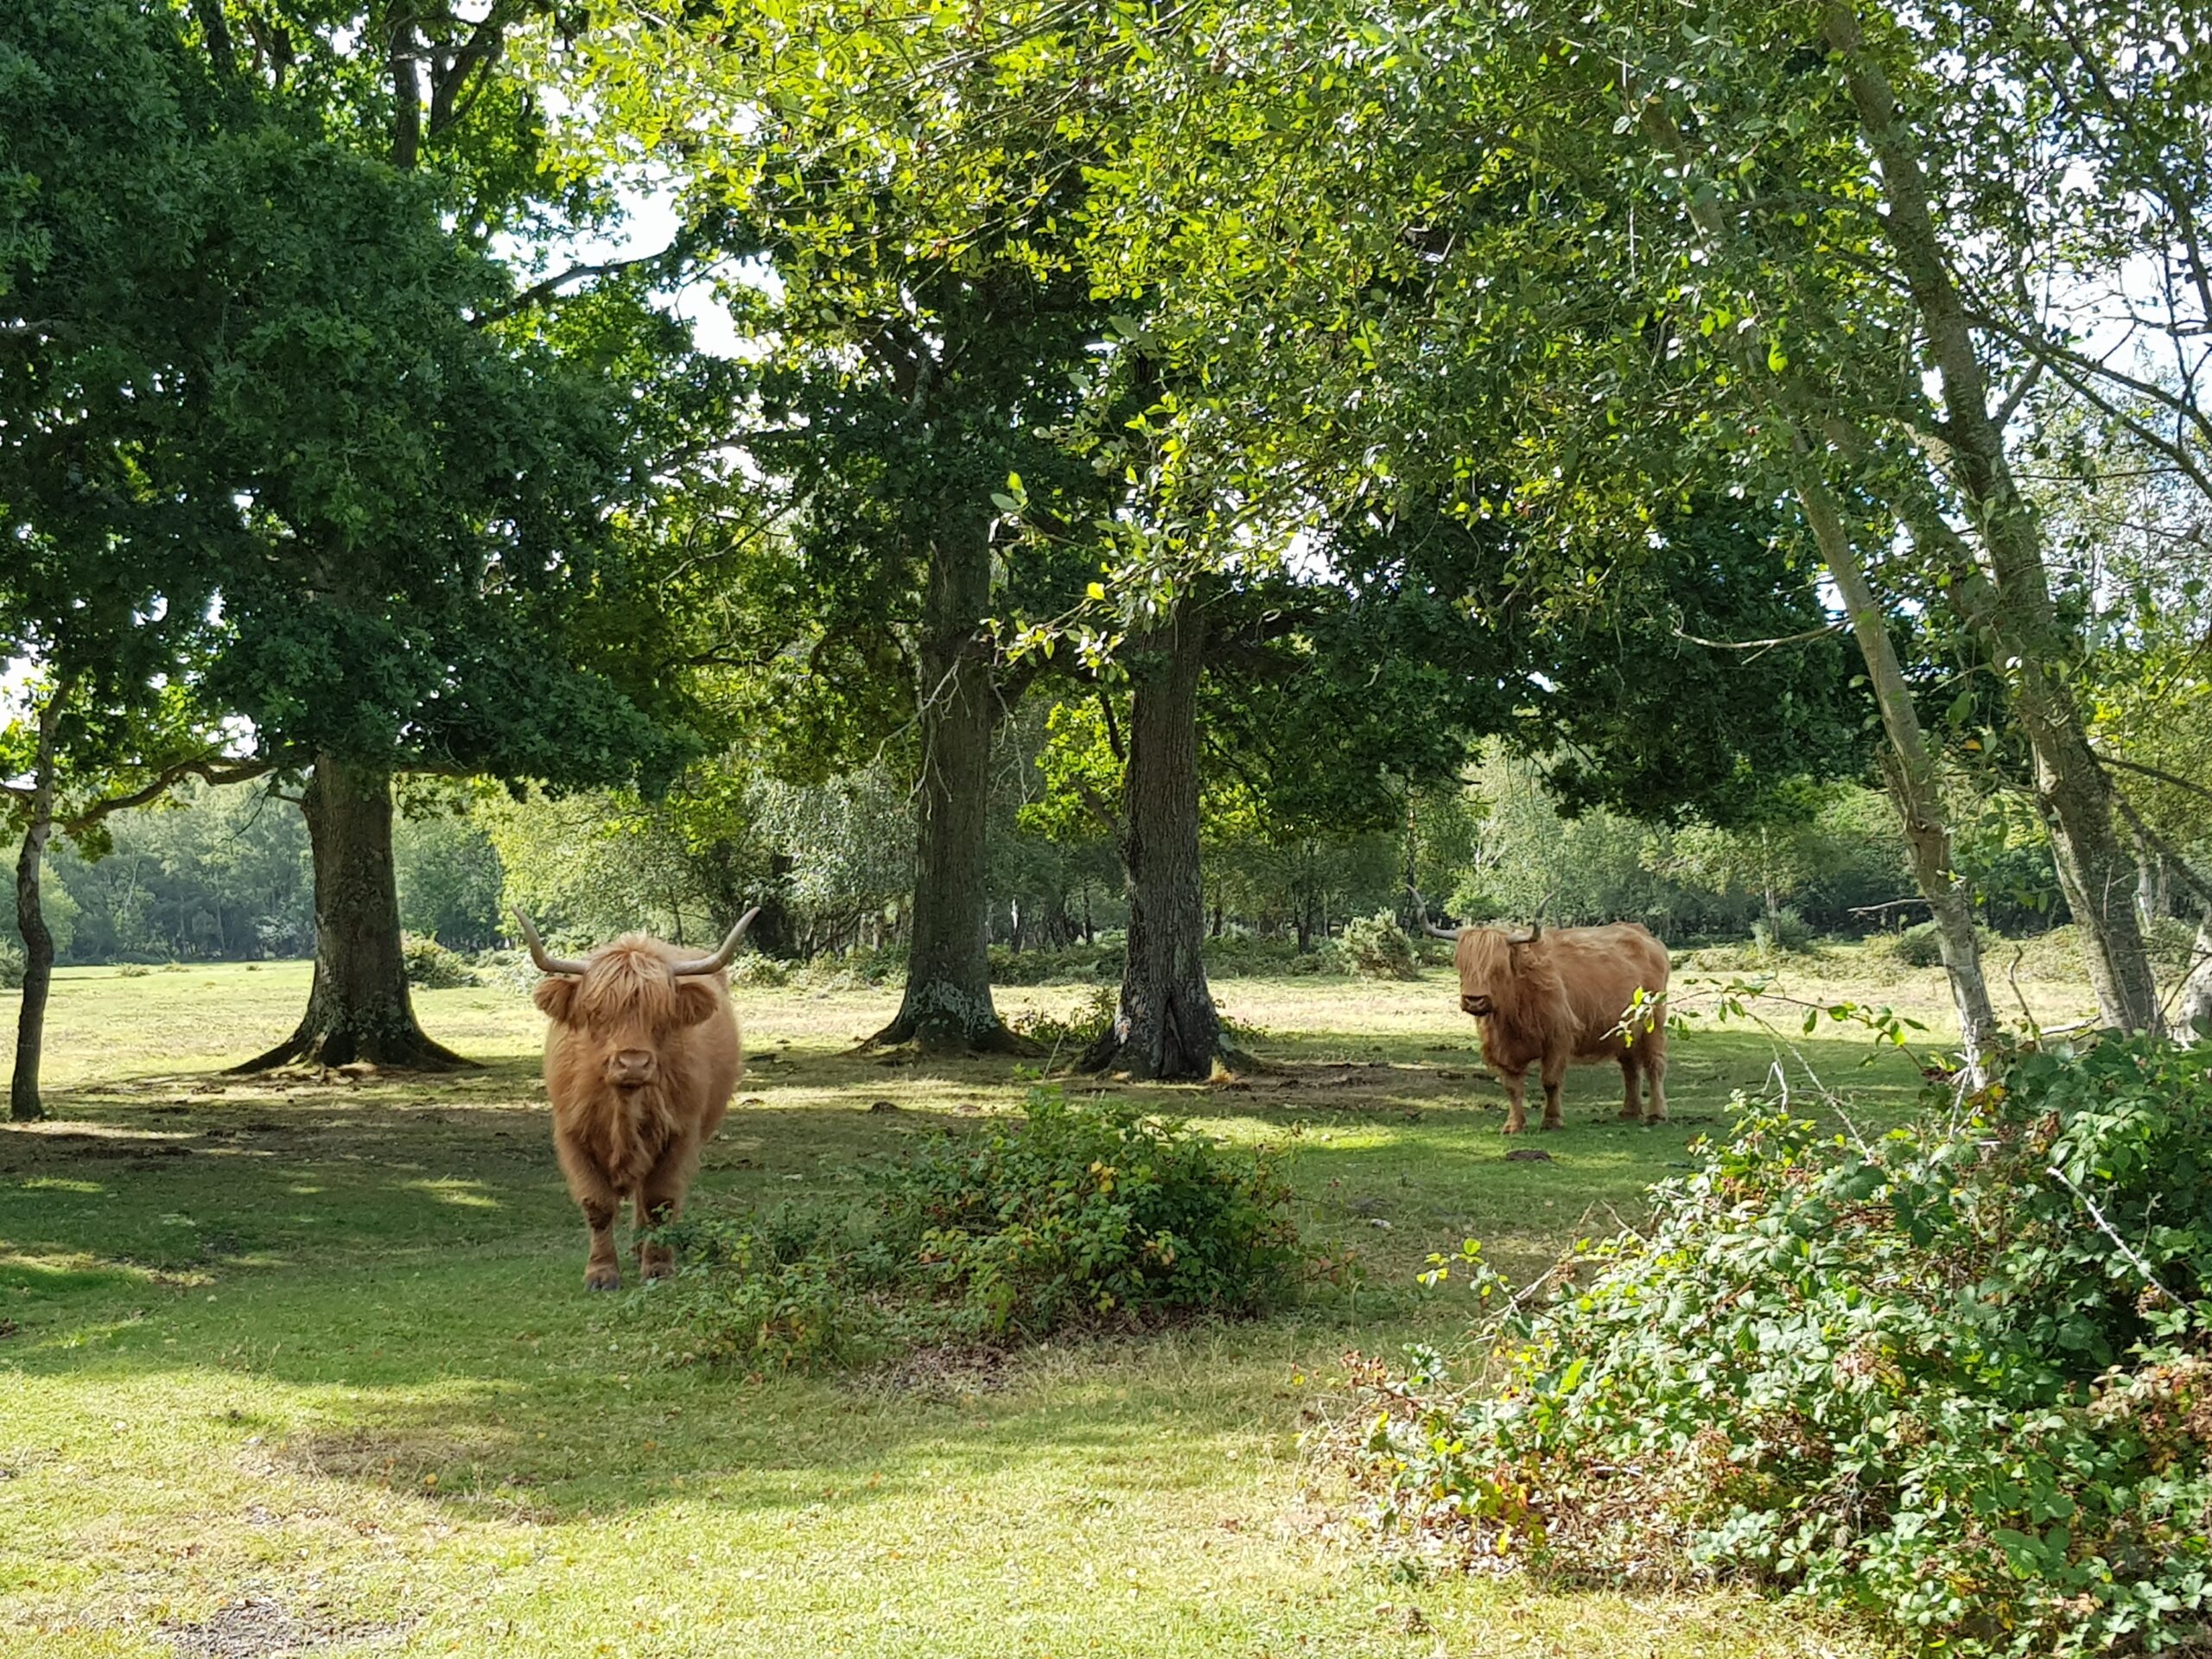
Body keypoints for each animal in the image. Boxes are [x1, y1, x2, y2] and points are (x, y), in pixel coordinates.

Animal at [515, 907, 758, 1291]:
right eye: (596, 1013)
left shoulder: (681, 1133)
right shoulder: (571, 1133)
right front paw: (601, 1273)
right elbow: (597, 1206)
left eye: (662, 1015)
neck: (623, 1106)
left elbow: (660, 1199)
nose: (633, 1063)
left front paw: (658, 1266)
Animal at [1427, 918, 1670, 1134]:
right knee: (1630, 1068)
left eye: (1498, 967)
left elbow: (1550, 1081)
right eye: (1461, 966)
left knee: (1654, 1066)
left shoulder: (1558, 1038)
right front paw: (1514, 1125)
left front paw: (1552, 1121)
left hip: (1653, 1024)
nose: (1474, 1000)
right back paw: (1629, 1111)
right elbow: (1512, 1087)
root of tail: (1643, 935)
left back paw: (1656, 1114)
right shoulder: (1501, 1047)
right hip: (1626, 1031)